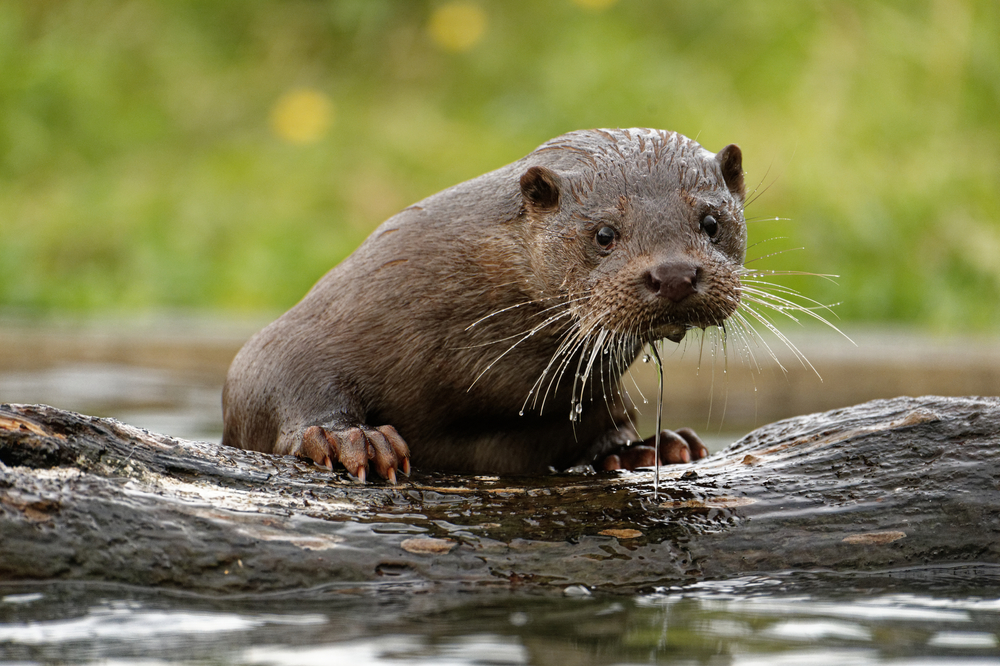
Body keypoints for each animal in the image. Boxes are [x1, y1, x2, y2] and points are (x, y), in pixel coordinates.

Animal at [225, 130, 744, 480]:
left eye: (711, 223)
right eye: (604, 234)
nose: (674, 274)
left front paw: (649, 448)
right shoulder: (333, 311)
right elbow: (267, 366)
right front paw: (352, 439)